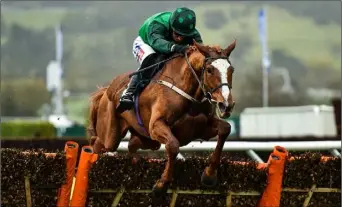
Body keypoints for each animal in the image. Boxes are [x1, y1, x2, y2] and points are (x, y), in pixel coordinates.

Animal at [88, 39, 236, 197]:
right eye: (209, 70)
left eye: (231, 70)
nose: (227, 104)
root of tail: (106, 91)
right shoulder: (156, 125)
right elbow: (173, 145)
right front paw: (161, 185)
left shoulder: (201, 128)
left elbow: (225, 129)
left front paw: (209, 175)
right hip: (110, 136)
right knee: (97, 143)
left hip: (148, 141)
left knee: (132, 144)